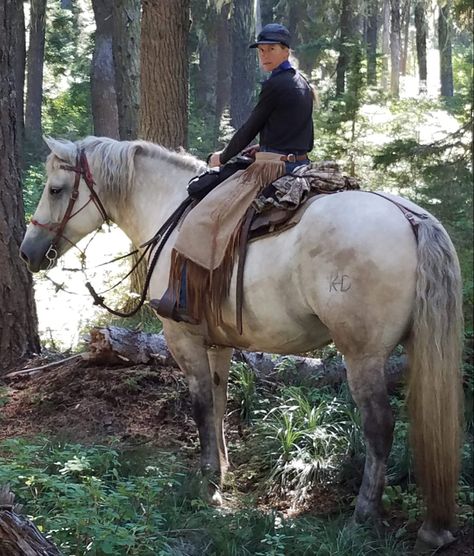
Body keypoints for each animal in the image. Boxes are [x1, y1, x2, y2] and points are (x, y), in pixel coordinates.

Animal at [19, 137, 462, 548]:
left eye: (56, 189)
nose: (27, 253)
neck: (169, 210)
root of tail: (410, 216)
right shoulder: (219, 344)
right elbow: (218, 404)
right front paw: (222, 472)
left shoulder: (184, 339)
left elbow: (200, 407)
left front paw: (207, 485)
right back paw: (433, 528)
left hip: (363, 356)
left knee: (380, 427)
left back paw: (363, 515)